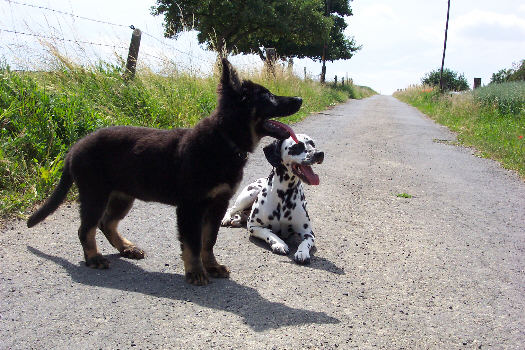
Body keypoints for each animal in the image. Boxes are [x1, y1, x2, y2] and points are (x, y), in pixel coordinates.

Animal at [26, 58, 300, 286]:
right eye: (268, 97)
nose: (300, 99)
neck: (224, 140)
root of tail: (73, 149)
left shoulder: (217, 204)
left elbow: (209, 240)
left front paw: (212, 266)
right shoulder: (191, 206)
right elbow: (192, 243)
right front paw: (196, 272)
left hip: (122, 195)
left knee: (106, 223)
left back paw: (126, 248)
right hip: (95, 194)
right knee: (87, 229)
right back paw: (94, 258)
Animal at [221, 133, 324, 262]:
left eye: (313, 144)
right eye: (296, 146)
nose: (319, 153)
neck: (284, 195)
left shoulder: (308, 233)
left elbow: (305, 242)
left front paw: (302, 252)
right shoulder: (253, 226)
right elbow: (269, 232)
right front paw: (279, 243)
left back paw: (237, 220)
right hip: (249, 195)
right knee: (231, 209)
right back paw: (227, 218)